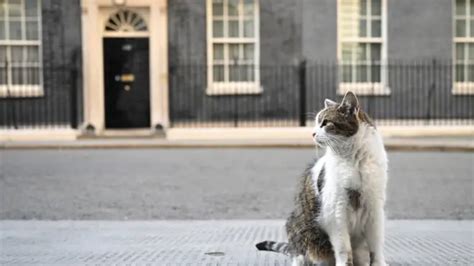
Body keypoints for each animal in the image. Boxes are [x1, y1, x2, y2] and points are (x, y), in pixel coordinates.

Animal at [258, 92, 386, 266]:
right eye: (316, 123)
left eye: (325, 123)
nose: (312, 133)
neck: (354, 161)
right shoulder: (336, 213)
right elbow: (344, 249)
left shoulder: (374, 209)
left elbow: (376, 245)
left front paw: (379, 263)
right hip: (296, 225)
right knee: (298, 253)